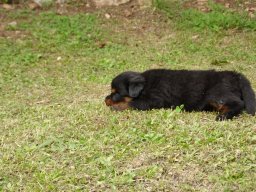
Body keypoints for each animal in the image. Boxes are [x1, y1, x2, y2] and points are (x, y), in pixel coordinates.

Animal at [105, 68, 255, 120]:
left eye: (116, 93)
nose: (105, 100)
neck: (146, 85)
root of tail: (234, 75)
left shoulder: (154, 99)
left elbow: (131, 103)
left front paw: (115, 107)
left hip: (218, 93)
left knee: (239, 103)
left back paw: (223, 116)